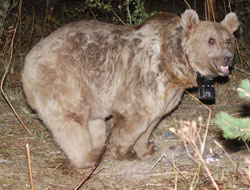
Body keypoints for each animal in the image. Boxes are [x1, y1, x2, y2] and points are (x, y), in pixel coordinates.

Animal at [22, 10, 239, 168]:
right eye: (211, 40)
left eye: (228, 40)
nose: (227, 57)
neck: (174, 65)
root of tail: (29, 60)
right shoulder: (145, 75)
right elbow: (135, 117)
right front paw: (122, 151)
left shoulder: (167, 93)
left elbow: (153, 118)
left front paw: (147, 148)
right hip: (63, 77)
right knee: (71, 119)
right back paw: (88, 157)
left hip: (90, 88)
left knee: (93, 119)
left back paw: (98, 147)